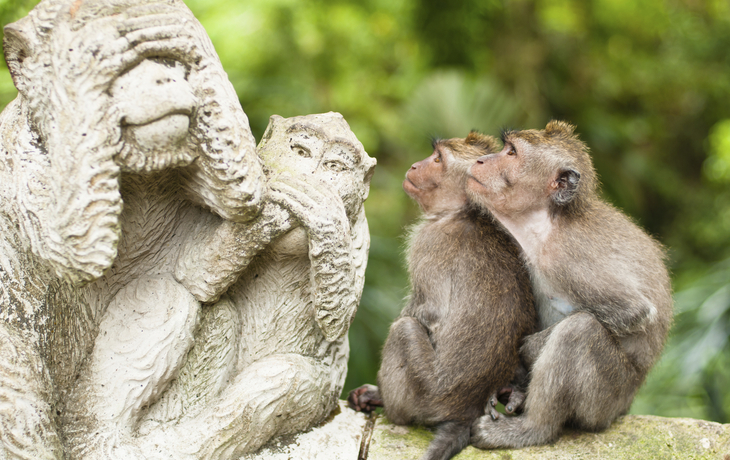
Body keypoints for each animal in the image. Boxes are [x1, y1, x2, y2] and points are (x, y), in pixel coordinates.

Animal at [349, 132, 536, 460]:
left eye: (437, 159)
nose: (414, 165)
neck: (463, 211)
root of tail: (465, 411)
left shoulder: (428, 242)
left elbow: (429, 311)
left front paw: (375, 392)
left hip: (424, 393)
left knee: (404, 330)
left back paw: (388, 404)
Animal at [466, 120, 673, 449]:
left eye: (511, 152)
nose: (481, 160)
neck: (547, 222)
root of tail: (625, 405)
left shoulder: (567, 256)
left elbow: (634, 311)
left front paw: (528, 350)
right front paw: (516, 385)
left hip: (607, 399)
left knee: (579, 331)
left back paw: (531, 429)